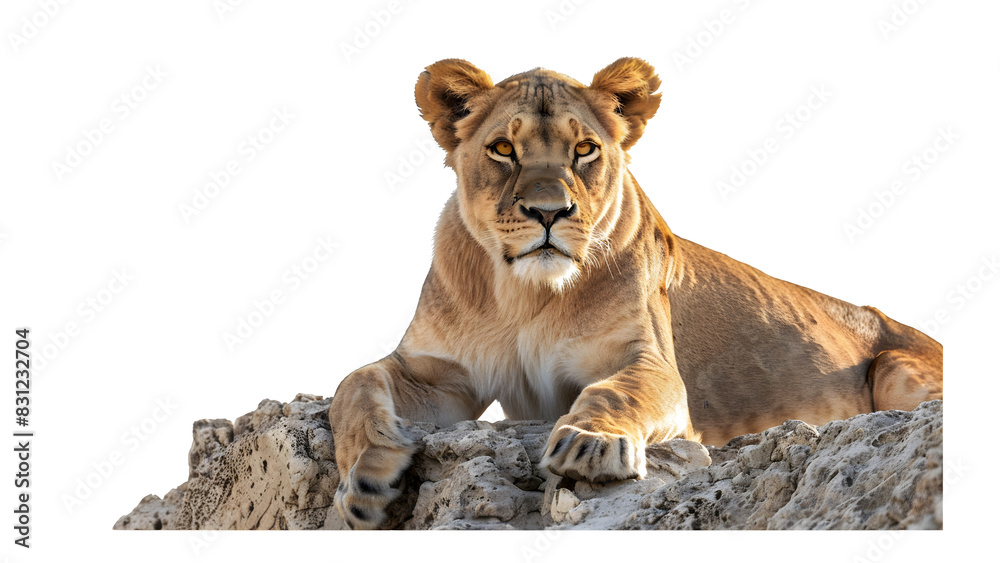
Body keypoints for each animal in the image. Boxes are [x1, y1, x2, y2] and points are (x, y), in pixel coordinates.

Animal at [328, 58, 943, 529]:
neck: (525, 296)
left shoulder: (651, 363)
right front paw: (363, 480)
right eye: (503, 148)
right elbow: (353, 385)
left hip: (895, 365)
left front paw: (588, 443)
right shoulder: (439, 372)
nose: (549, 212)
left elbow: (617, 391)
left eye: (584, 149)